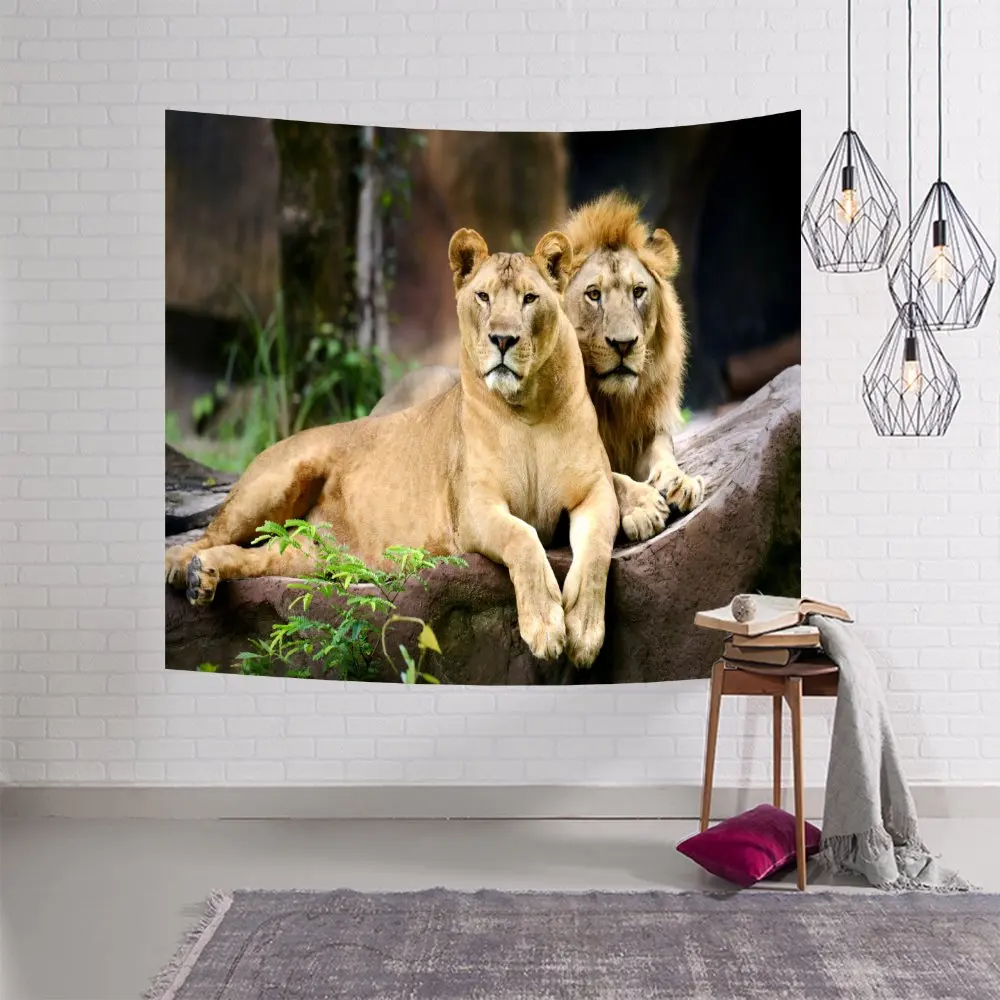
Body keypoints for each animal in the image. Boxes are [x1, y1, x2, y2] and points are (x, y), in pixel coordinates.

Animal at [165, 230, 619, 667]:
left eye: (529, 298)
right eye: (483, 296)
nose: (503, 339)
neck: (528, 410)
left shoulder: (596, 492)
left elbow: (597, 551)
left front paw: (584, 633)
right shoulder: (474, 510)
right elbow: (523, 539)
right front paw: (545, 628)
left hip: (308, 555)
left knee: (255, 555)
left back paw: (204, 575)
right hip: (276, 482)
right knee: (212, 533)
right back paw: (181, 568)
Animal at [372, 192, 704, 543]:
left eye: (638, 291)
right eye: (594, 294)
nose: (624, 344)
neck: (610, 401)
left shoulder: (643, 430)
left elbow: (663, 451)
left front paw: (680, 482)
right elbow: (611, 476)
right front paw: (643, 508)